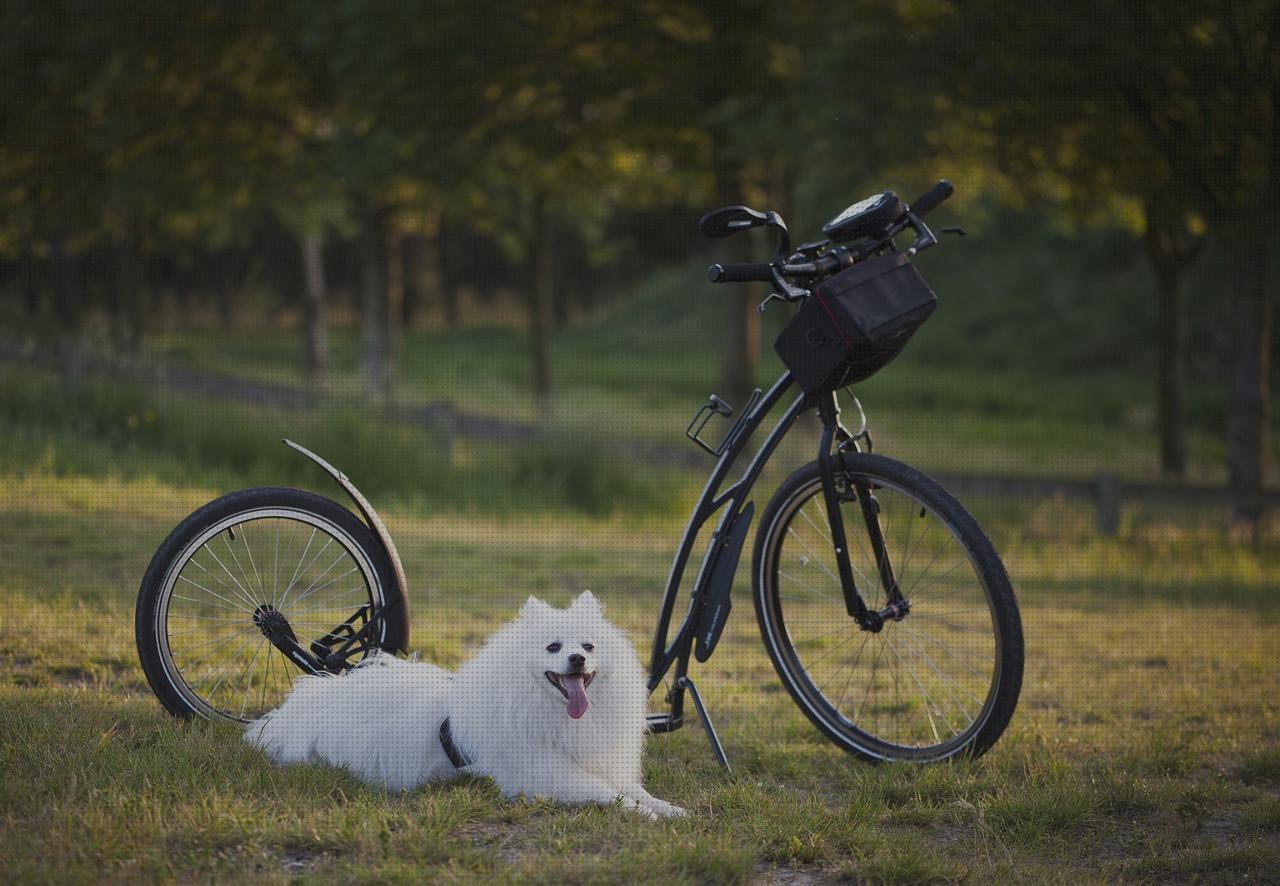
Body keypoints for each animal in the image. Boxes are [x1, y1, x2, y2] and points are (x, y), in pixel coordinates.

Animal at [239, 591, 680, 819]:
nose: (577, 659)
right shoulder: (545, 773)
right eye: (553, 647)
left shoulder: (597, 760)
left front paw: (670, 809)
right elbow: (609, 793)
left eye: (588, 646)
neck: (549, 711)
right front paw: (646, 815)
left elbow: (633, 788)